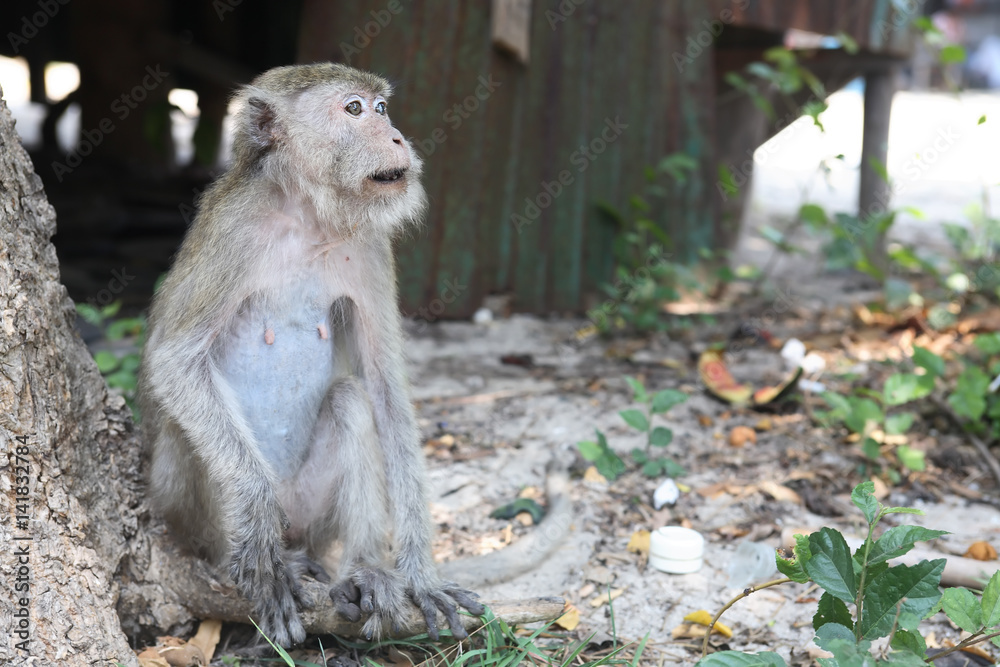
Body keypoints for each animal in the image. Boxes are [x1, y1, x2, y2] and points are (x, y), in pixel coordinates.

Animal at [139, 63, 486, 647]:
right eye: (354, 110)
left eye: (382, 108)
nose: (396, 136)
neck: (307, 216)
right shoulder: (233, 230)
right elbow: (173, 363)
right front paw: (256, 512)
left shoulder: (370, 243)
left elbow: (386, 390)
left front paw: (420, 576)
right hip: (193, 510)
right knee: (192, 431)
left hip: (314, 514)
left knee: (350, 399)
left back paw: (365, 571)